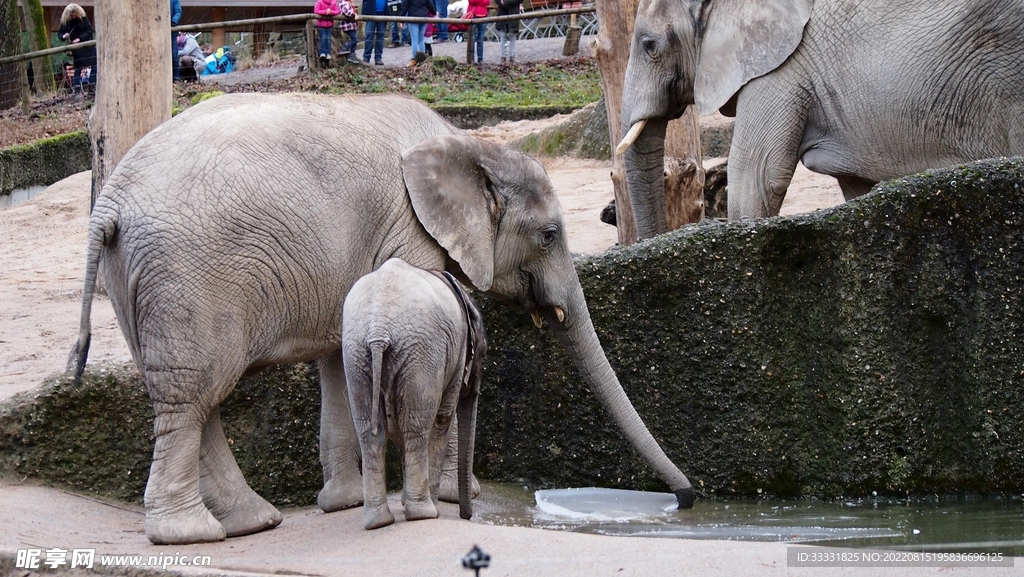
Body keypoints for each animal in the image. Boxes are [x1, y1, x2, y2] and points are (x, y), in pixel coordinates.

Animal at [342, 258, 486, 530]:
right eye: (483, 353)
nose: (467, 516)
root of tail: (378, 330)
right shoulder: (455, 353)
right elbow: (442, 419)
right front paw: (432, 508)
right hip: (422, 352)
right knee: (418, 427)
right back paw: (424, 513)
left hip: (356, 353)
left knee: (370, 432)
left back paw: (378, 521)